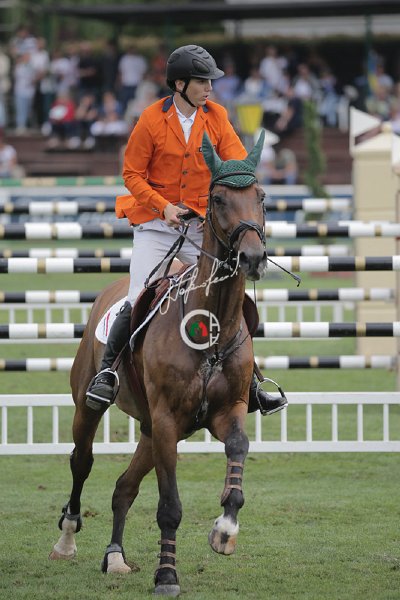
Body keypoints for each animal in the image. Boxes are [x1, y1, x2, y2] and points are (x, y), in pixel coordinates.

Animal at [50, 131, 268, 597]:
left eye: (260, 196)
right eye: (219, 199)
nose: (253, 257)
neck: (210, 324)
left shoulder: (228, 410)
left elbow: (238, 448)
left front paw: (225, 530)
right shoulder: (168, 420)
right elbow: (169, 506)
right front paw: (167, 575)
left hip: (151, 429)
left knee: (123, 488)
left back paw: (115, 556)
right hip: (94, 409)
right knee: (82, 462)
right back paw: (67, 539)